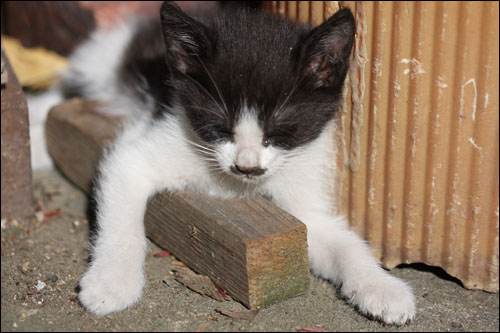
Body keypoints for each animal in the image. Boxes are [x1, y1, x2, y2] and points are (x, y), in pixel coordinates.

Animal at [63, 1, 414, 324]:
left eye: (280, 131)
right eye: (219, 127)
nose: (247, 167)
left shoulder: (302, 193)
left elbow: (342, 242)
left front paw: (383, 289)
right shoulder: (143, 152)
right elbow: (123, 218)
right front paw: (111, 283)